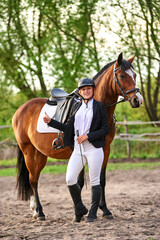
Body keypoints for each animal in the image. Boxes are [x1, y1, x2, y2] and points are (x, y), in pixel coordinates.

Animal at [12, 52, 142, 219]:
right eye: (122, 75)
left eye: (135, 75)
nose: (137, 100)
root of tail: (21, 109)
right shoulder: (78, 151)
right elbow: (78, 182)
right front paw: (79, 211)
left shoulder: (105, 150)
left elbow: (101, 180)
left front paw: (105, 210)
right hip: (28, 151)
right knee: (32, 180)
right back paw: (39, 212)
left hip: (40, 154)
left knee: (34, 178)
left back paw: (35, 209)